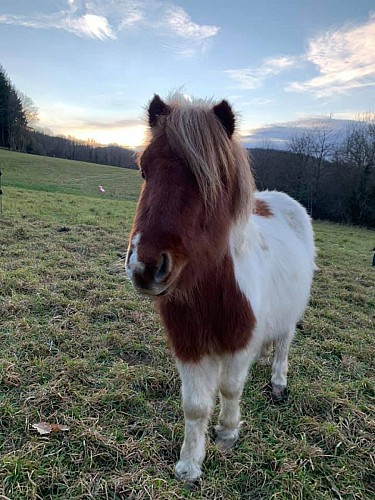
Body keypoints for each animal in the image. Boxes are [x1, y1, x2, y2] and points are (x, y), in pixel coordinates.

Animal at [125, 94, 314, 480]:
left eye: (209, 179)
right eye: (143, 170)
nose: (145, 268)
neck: (210, 290)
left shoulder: (237, 343)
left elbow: (230, 388)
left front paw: (227, 433)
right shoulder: (189, 345)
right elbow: (195, 406)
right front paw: (189, 466)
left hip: (289, 317)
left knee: (283, 345)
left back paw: (278, 382)